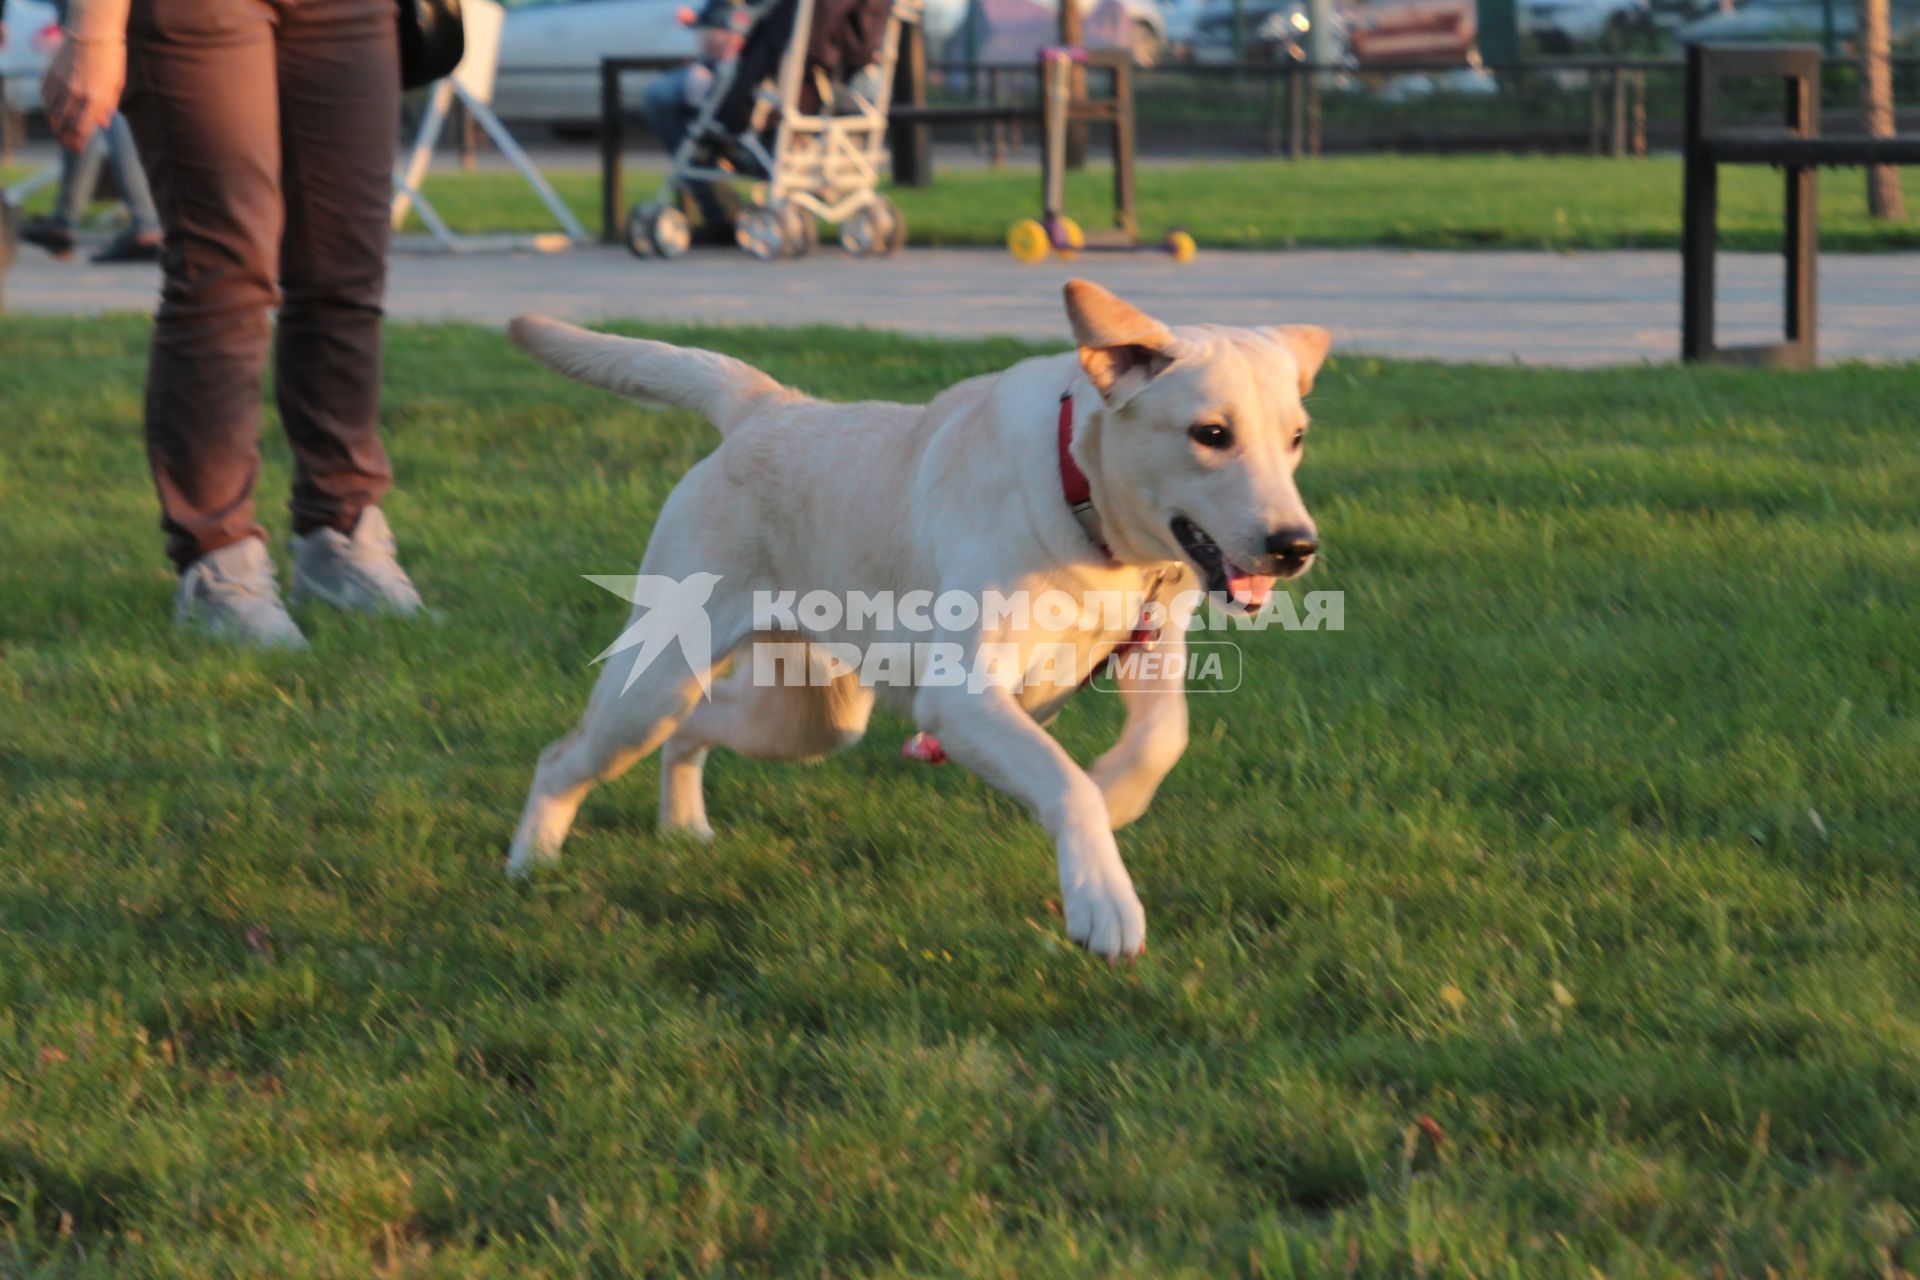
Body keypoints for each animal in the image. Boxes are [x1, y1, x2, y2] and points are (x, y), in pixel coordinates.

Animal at [503, 282, 1328, 959]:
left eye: (1295, 438)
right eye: (1211, 435)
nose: (1296, 546)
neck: (1085, 502)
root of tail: (771, 406)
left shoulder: (1153, 642)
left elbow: (1163, 737)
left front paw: (1120, 791)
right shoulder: (960, 697)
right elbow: (1065, 783)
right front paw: (1103, 900)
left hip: (812, 715)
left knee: (695, 729)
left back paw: (682, 827)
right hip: (658, 685)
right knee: (566, 757)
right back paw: (530, 863)